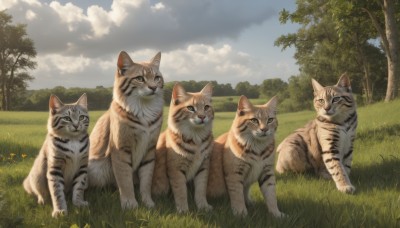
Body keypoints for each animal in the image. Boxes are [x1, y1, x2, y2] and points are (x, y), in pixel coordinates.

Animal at [88, 50, 164, 209]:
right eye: (140, 78)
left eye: (157, 78)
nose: (154, 87)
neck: (143, 107)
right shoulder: (121, 148)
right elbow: (124, 178)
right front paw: (130, 204)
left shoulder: (149, 149)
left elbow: (146, 178)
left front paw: (148, 202)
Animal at [152, 83, 214, 213]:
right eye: (190, 108)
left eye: (206, 107)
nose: (202, 117)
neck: (196, 138)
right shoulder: (176, 168)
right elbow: (180, 190)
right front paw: (183, 210)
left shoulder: (203, 166)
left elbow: (201, 189)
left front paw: (203, 206)